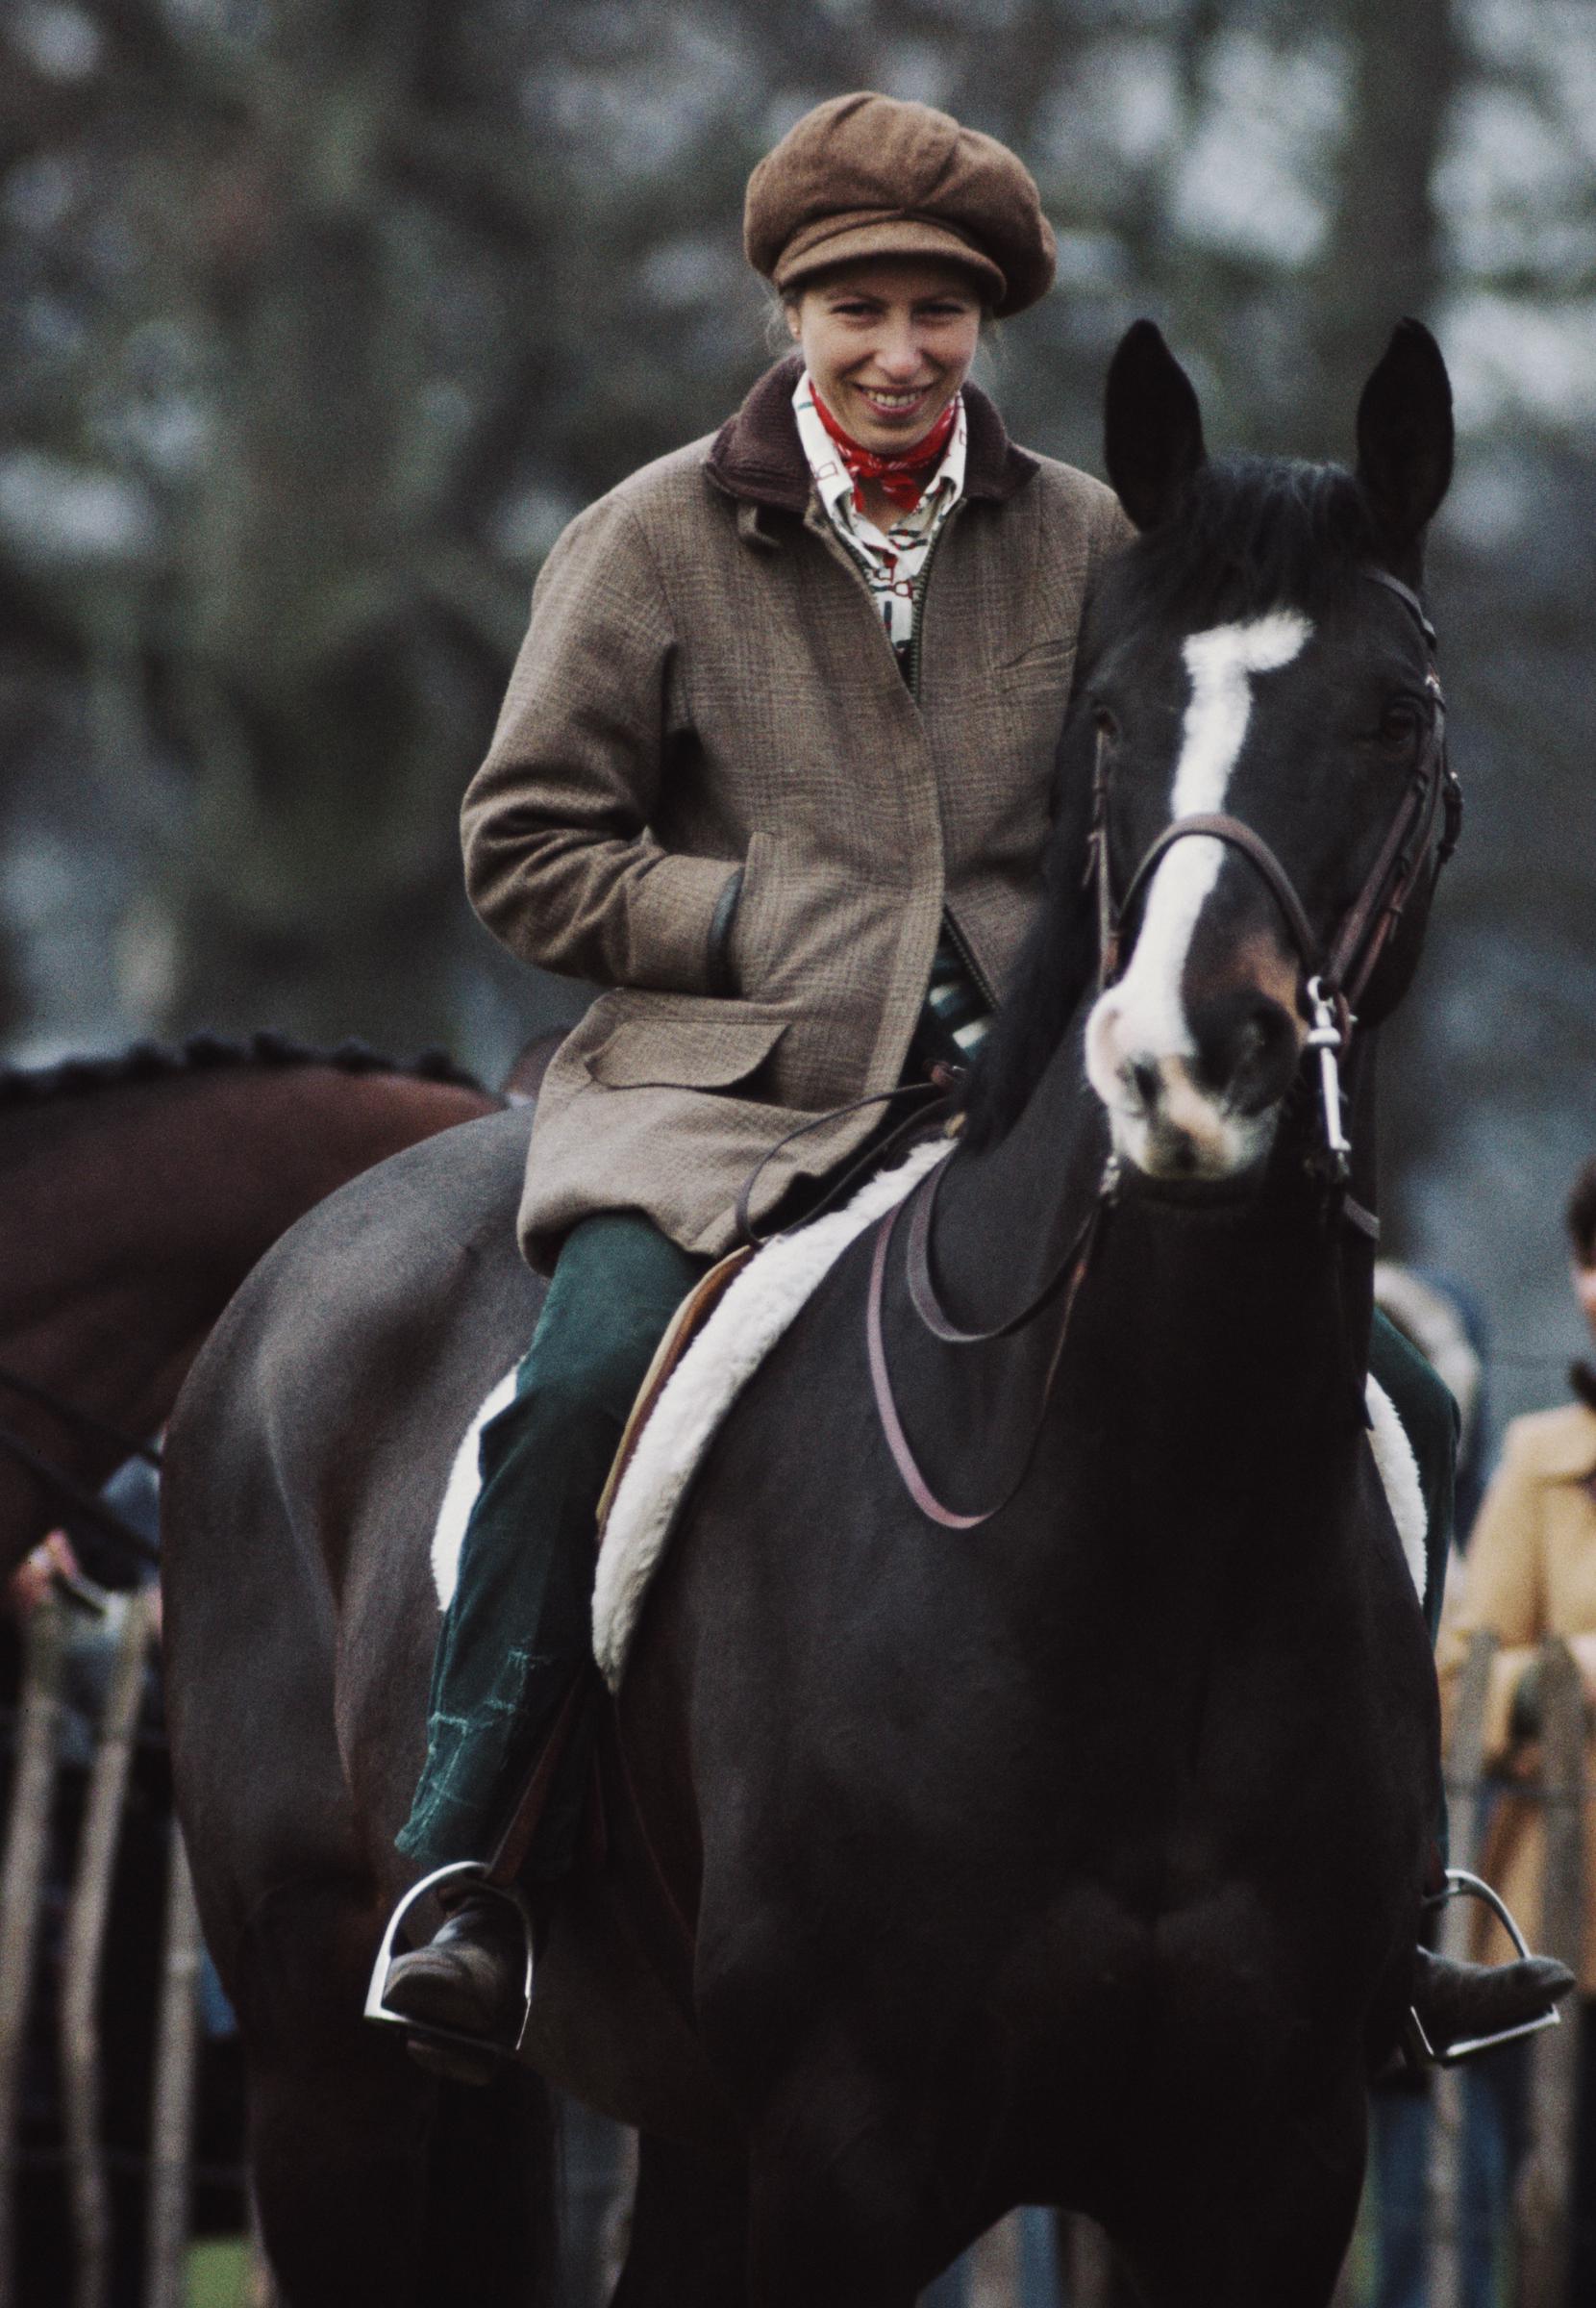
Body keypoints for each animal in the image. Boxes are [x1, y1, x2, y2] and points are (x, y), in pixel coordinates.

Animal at [159, 315, 1458, 2298]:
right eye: (1111, 717)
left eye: (1397, 713)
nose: (1185, 1067)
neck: (1150, 1519)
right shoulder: (849, 2148)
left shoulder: (1269, 2169)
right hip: (324, 2073)